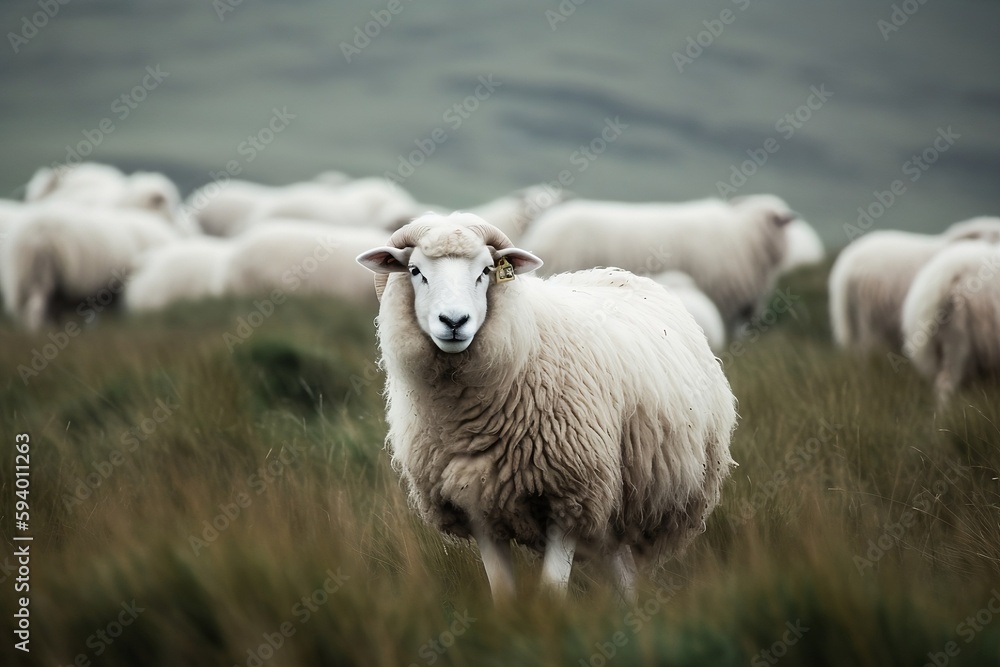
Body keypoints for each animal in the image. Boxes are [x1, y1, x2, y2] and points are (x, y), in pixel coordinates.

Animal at [356, 213, 737, 603]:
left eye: (486, 270)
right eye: (415, 270)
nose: (454, 322)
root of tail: (621, 274)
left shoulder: (571, 499)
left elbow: (551, 593)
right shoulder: (478, 507)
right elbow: (502, 594)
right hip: (611, 503)